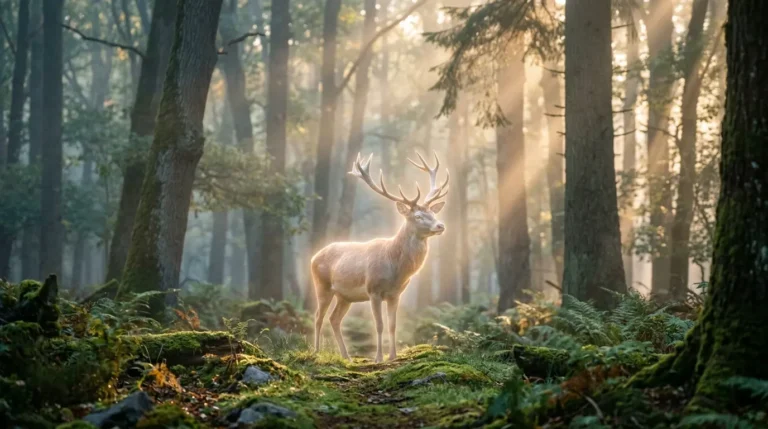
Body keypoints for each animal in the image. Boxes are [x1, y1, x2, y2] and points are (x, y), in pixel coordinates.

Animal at [311, 152, 449, 363]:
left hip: (345, 296)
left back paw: (346, 357)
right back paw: (316, 352)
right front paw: (378, 358)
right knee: (318, 316)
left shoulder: (396, 294)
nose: (440, 225)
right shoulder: (373, 290)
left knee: (334, 319)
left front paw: (393, 356)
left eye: (433, 213)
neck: (395, 269)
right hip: (322, 285)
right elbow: (379, 325)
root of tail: (313, 257)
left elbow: (392, 325)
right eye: (417, 216)